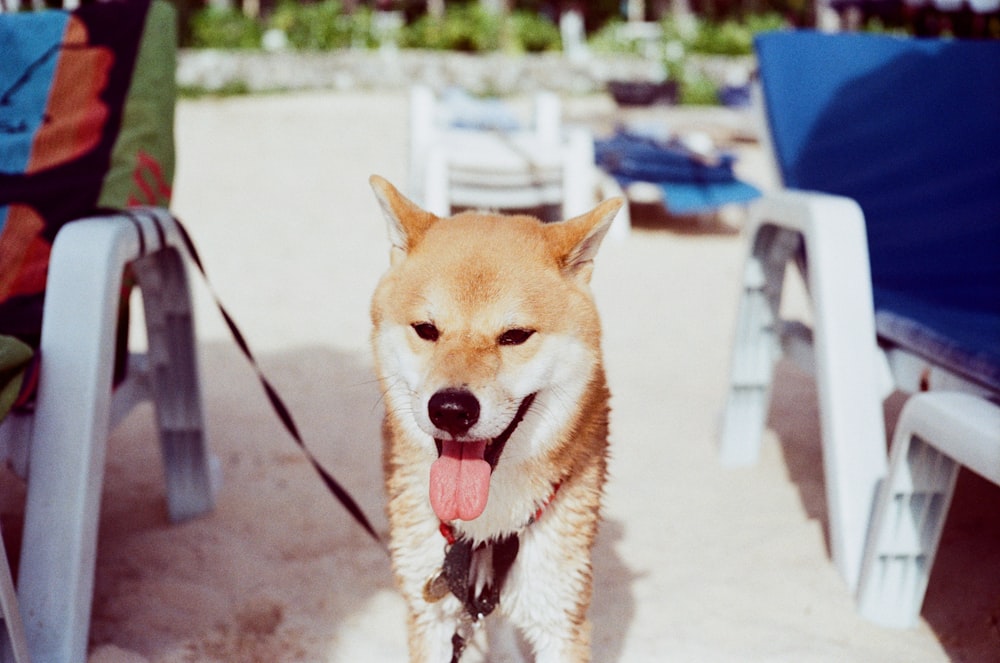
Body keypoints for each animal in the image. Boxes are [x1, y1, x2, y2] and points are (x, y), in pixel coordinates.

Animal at [370, 176, 616, 663]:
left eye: (514, 336)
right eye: (426, 330)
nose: (451, 408)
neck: (485, 528)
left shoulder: (559, 617)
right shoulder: (431, 613)